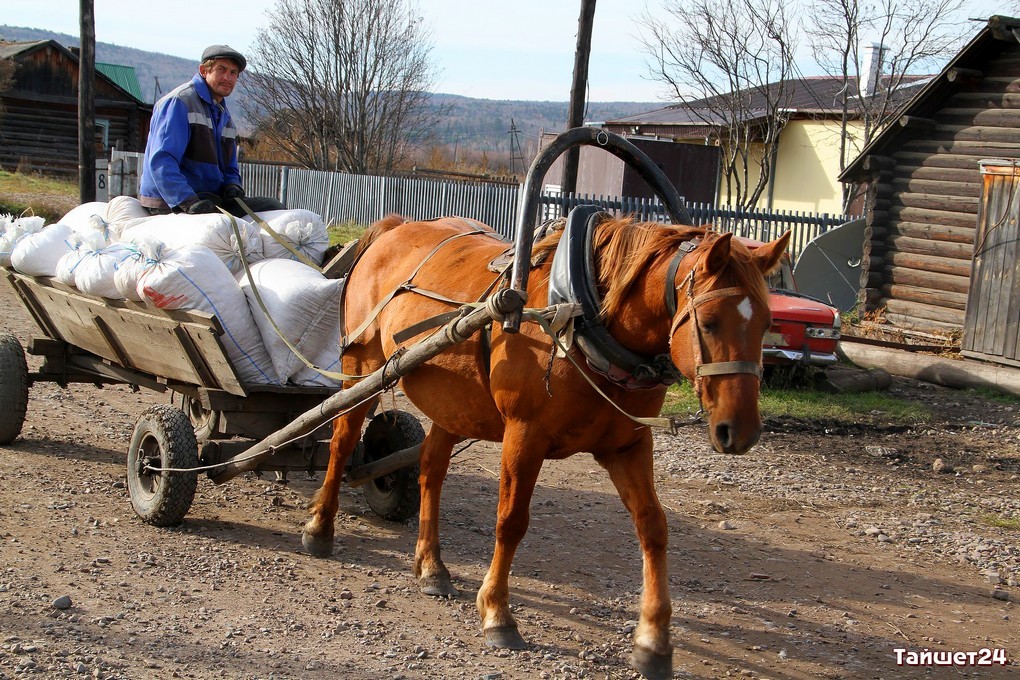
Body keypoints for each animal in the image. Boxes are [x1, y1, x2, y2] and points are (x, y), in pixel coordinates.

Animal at [302, 211, 790, 679]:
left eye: (767, 325)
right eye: (709, 322)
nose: (741, 431)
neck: (578, 314)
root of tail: (395, 227)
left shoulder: (628, 446)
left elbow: (653, 528)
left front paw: (653, 640)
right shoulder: (524, 435)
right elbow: (511, 522)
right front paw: (497, 613)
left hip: (453, 404)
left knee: (430, 471)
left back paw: (431, 566)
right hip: (361, 368)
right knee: (343, 443)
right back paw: (320, 528)